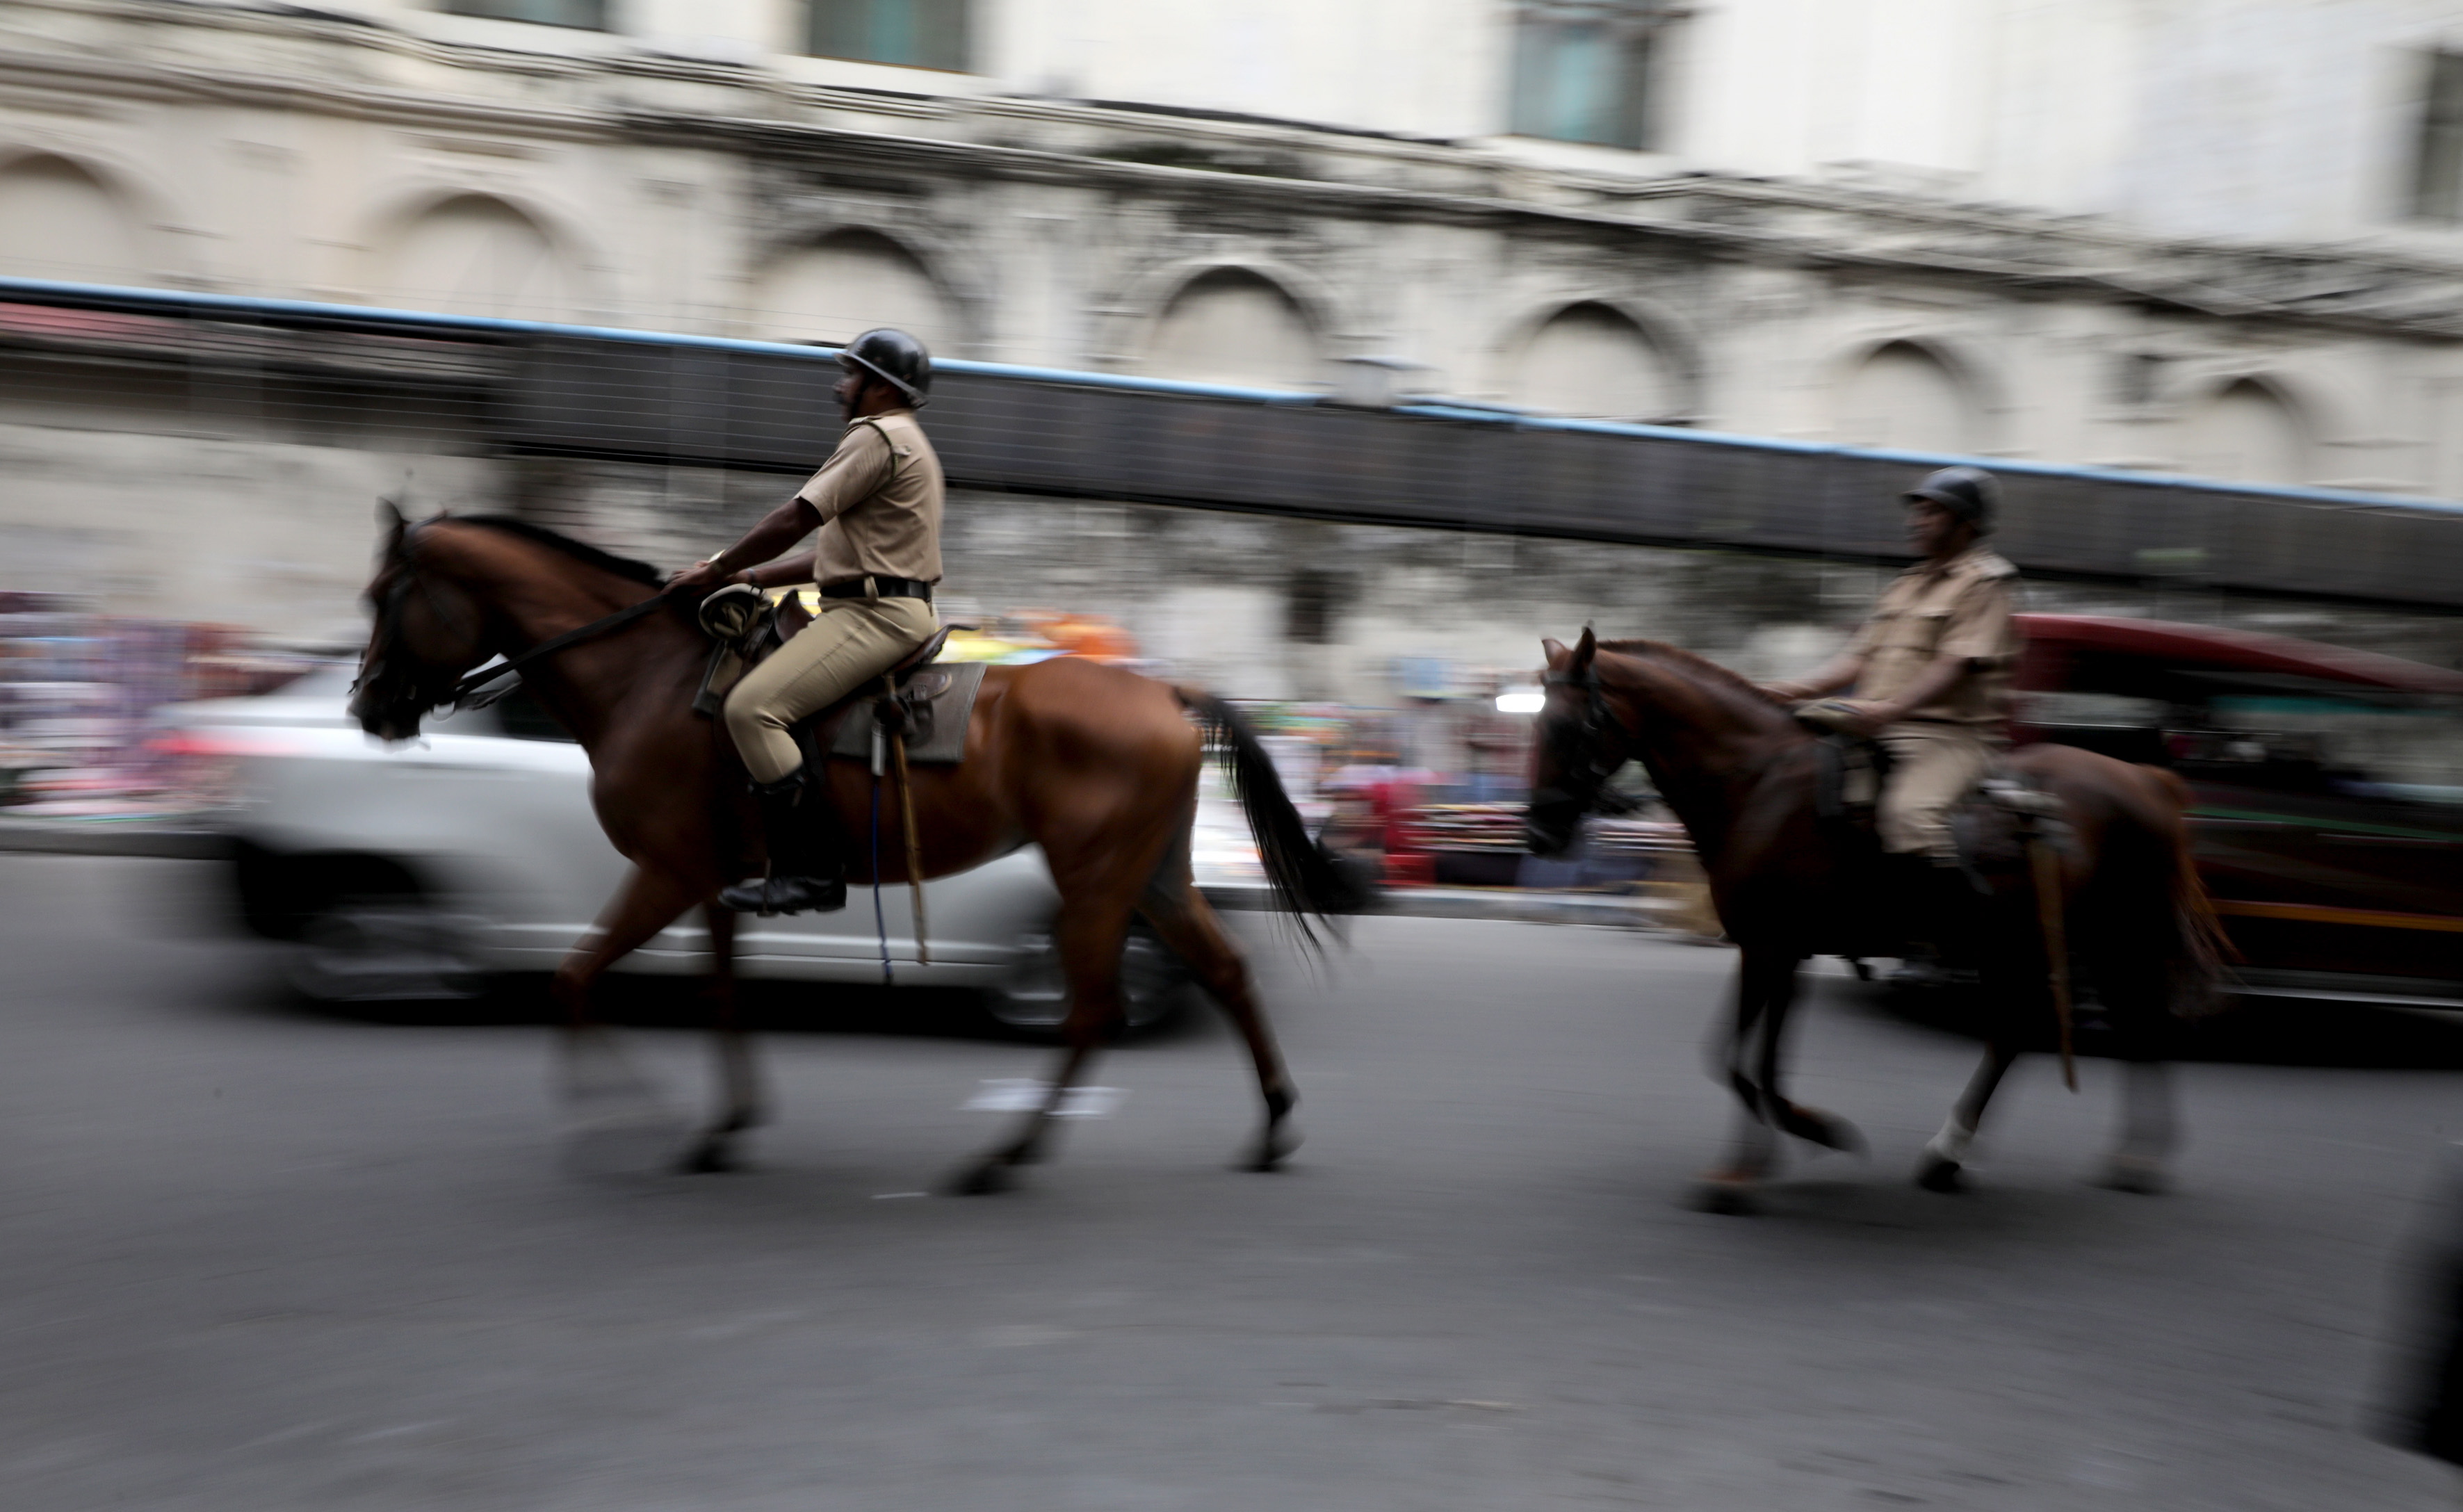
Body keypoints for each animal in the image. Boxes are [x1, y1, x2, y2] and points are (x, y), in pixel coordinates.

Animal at [350, 514, 1359, 1192]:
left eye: (383, 598)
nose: (367, 706)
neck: (645, 680)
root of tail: (1164, 693)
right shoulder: (713, 884)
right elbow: (718, 996)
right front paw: (722, 1127)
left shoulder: (667, 872)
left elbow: (574, 977)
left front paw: (624, 1116)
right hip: (1149, 876)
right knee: (1225, 973)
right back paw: (1271, 1127)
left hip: (1094, 882)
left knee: (1092, 1014)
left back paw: (1003, 1157)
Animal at [1527, 635, 2226, 1216]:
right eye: (1534, 721)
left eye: (1566, 726)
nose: (1538, 835)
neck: (1756, 784)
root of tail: (2141, 776)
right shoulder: (1778, 947)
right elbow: (1755, 1061)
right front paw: (1801, 1133)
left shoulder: (1770, 946)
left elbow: (1737, 1059)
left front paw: (1749, 1168)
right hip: (2039, 940)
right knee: (2040, 1033)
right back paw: (1971, 1156)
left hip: (2103, 935)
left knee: (2116, 1022)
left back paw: (2119, 1156)